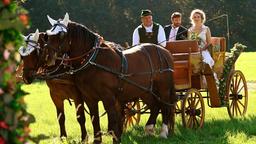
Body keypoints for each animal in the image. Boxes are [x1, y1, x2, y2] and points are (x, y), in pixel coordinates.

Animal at [43, 13, 176, 143]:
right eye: (48, 35)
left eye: (61, 35)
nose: (47, 58)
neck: (94, 60)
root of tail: (165, 52)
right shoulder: (89, 98)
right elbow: (94, 119)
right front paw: (97, 140)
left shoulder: (108, 98)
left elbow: (113, 120)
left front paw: (116, 138)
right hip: (145, 91)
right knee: (155, 106)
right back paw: (149, 129)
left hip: (164, 89)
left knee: (165, 107)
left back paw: (163, 132)